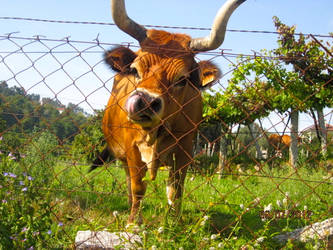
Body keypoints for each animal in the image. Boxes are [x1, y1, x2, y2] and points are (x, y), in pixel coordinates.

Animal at [92, 0, 245, 223]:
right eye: (135, 70)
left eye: (182, 79)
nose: (145, 102)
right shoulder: (131, 149)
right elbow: (138, 187)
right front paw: (134, 222)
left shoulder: (184, 150)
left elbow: (176, 190)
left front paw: (174, 222)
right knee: (129, 180)